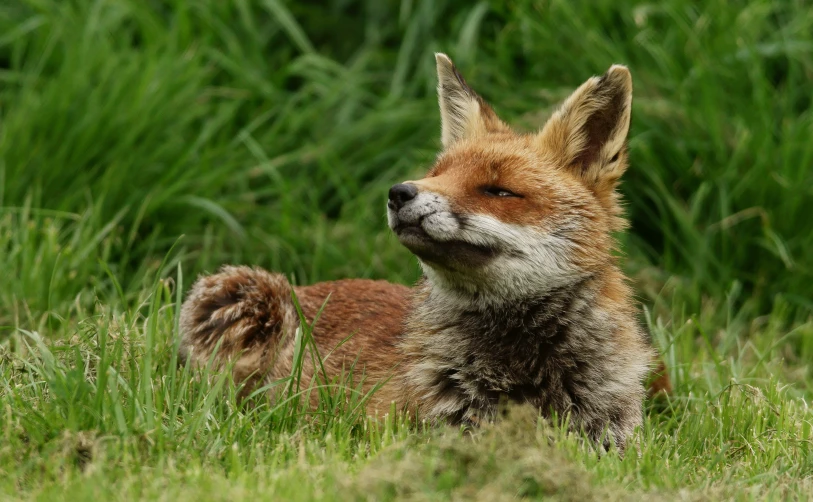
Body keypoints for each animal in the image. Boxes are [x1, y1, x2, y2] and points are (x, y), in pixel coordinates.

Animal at [181, 53, 668, 452]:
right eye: (438, 173)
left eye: (498, 190)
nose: (399, 192)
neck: (524, 375)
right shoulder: (439, 433)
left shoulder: (613, 442)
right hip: (239, 296)